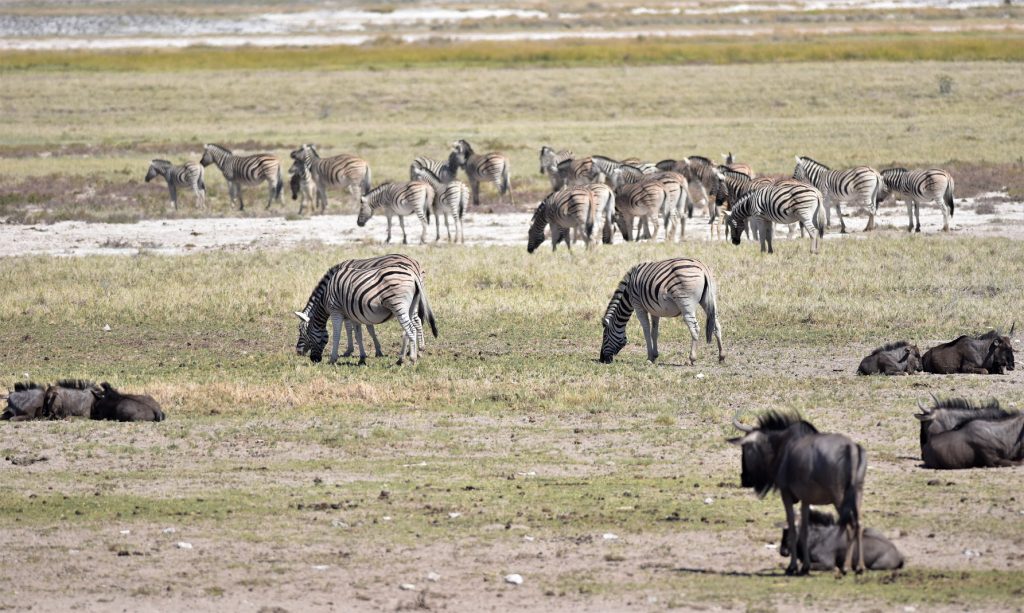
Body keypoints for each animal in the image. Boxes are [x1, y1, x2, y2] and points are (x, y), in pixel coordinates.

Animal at [296, 257, 440, 364]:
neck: (326, 294)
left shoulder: (336, 311)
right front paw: (363, 357)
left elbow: (338, 333)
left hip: (398, 305)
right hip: (411, 305)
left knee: (411, 328)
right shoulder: (354, 313)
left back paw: (413, 358)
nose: (299, 353)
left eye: (303, 332)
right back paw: (402, 358)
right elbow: (359, 334)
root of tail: (413, 273)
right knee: (409, 328)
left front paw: (334, 358)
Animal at [598, 257, 729, 366]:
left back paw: (691, 359)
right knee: (717, 326)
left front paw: (649, 357)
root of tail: (703, 268)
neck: (628, 293)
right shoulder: (654, 310)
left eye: (605, 336)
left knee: (695, 329)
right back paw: (721, 357)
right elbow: (654, 332)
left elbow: (646, 331)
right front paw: (655, 355)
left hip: (686, 303)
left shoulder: (638, 306)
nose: (602, 359)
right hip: (709, 300)